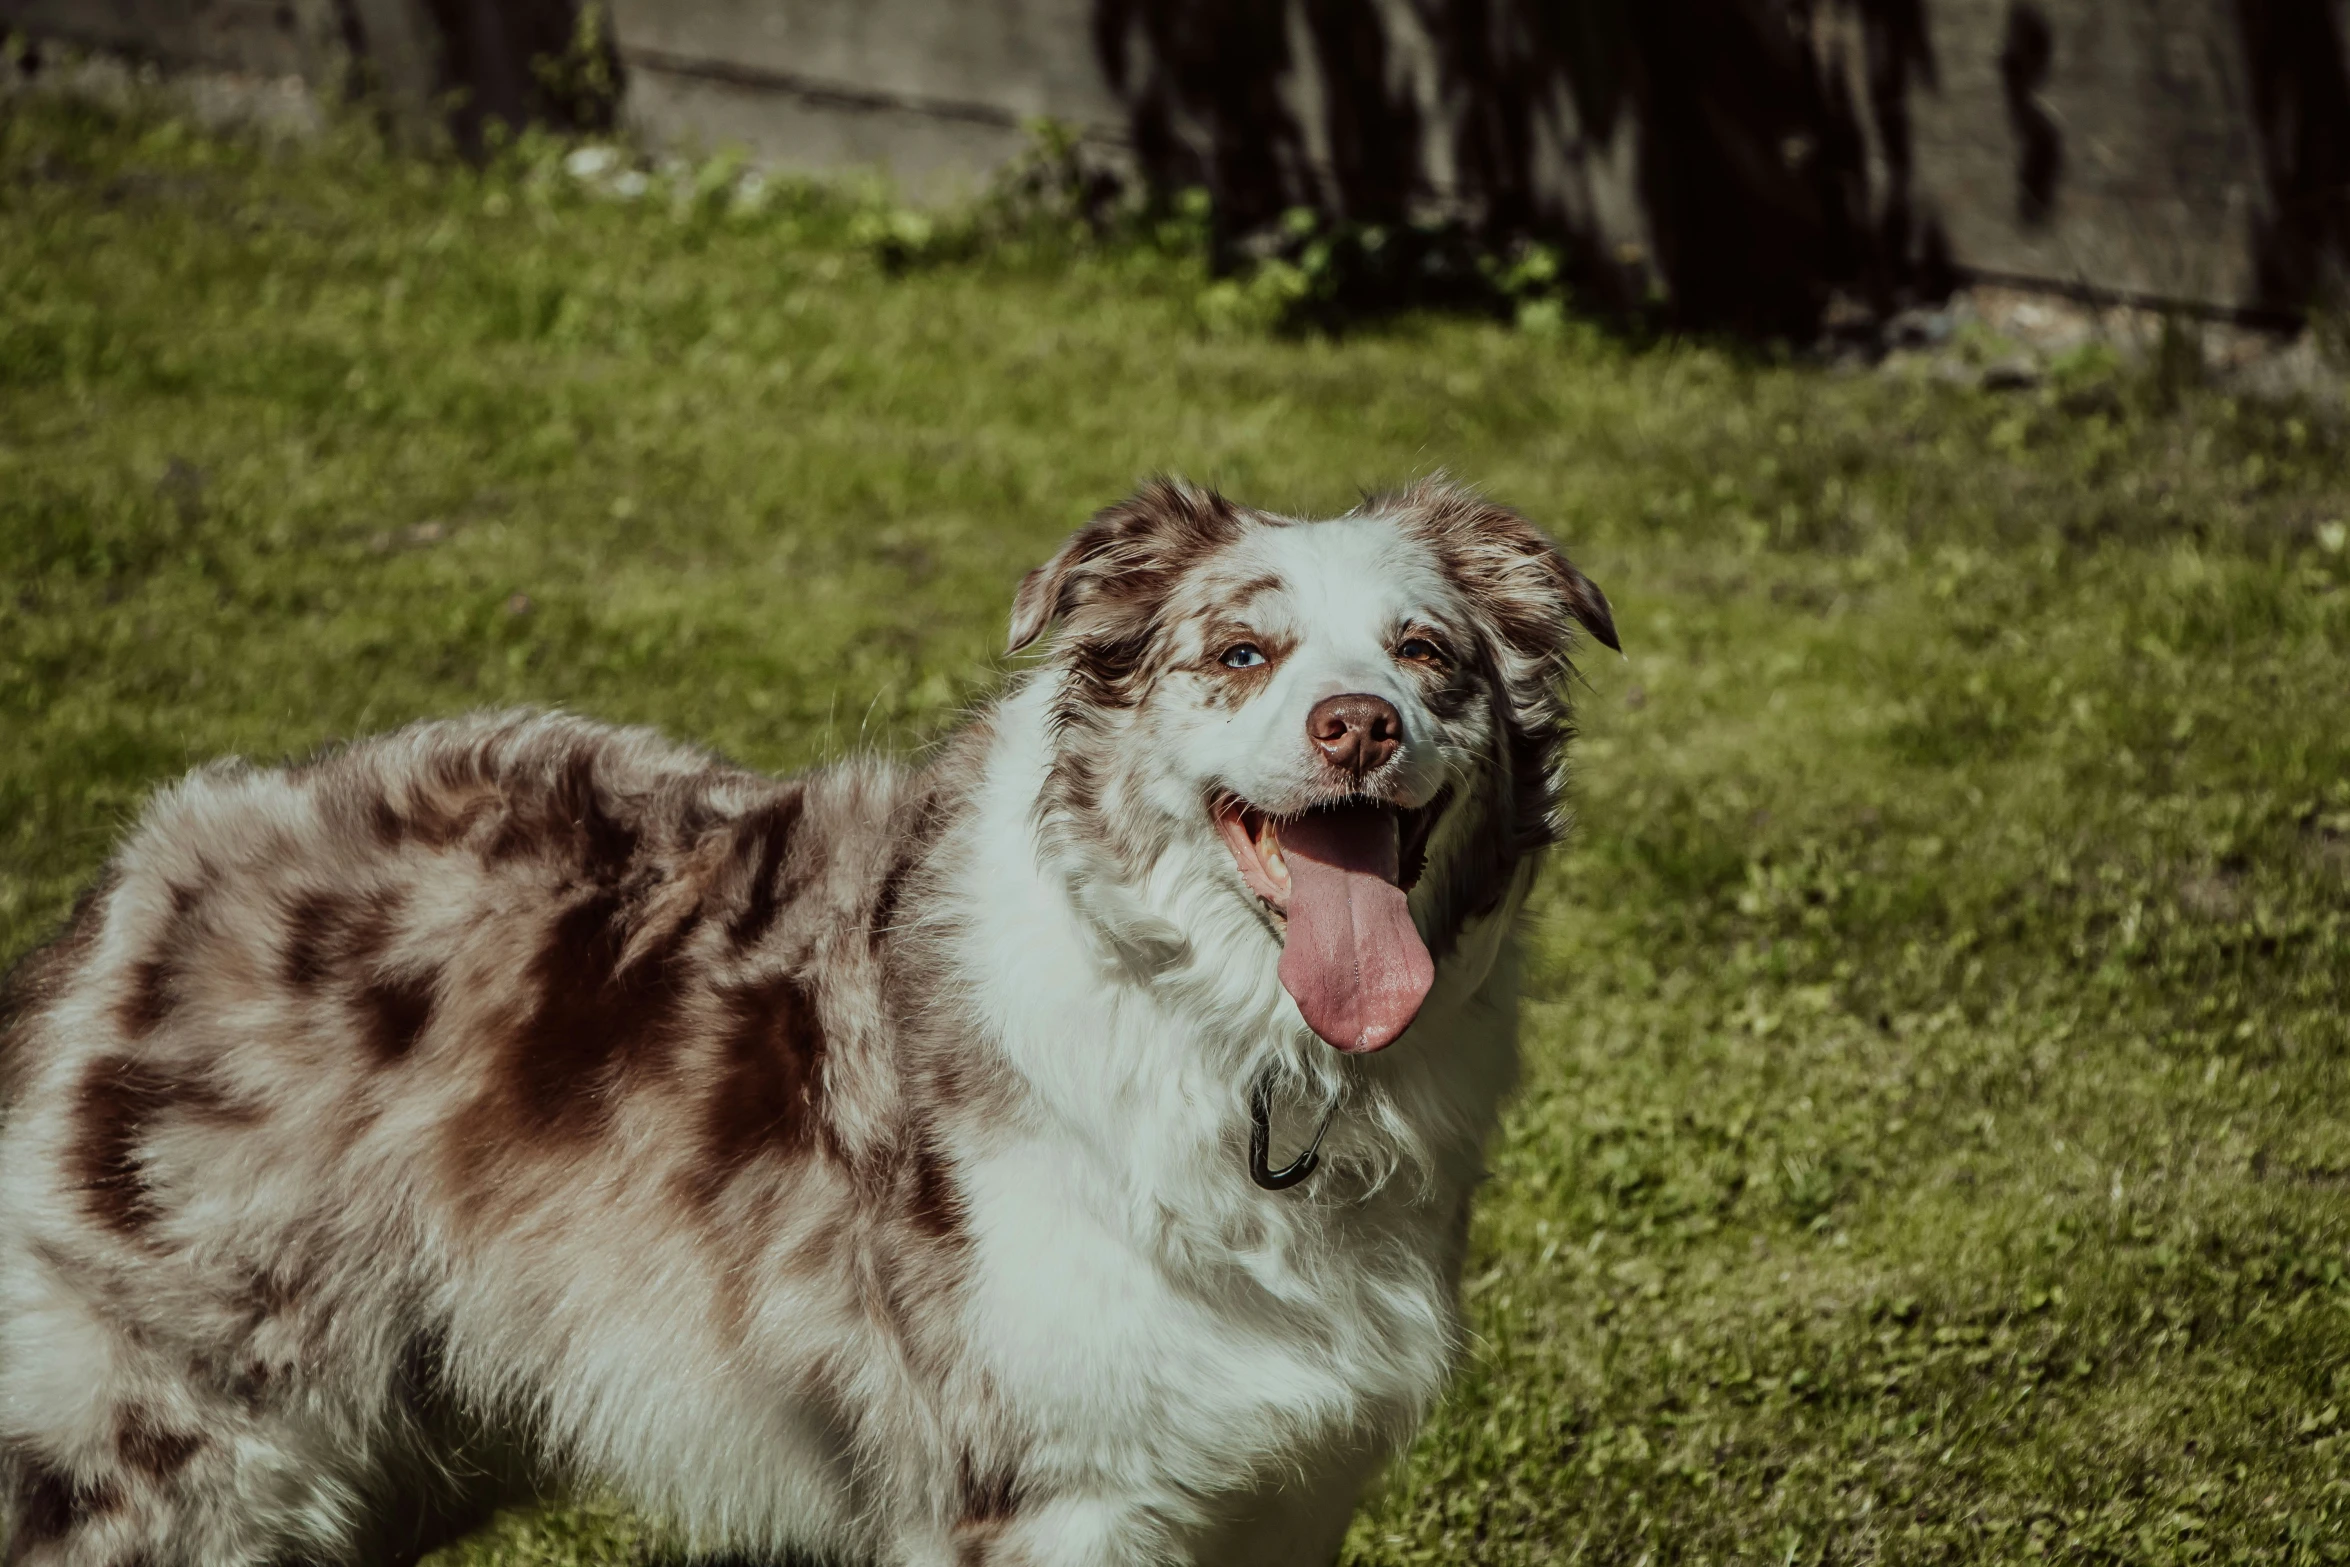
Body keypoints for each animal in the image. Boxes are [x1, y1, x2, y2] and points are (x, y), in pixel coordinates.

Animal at [0, 481, 1616, 1567]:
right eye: (1240, 655)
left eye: (1426, 653)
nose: (1359, 725)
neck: (1254, 1053)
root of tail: (144, 872)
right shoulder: (1044, 1491)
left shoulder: (1271, 1485)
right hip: (170, 1452)